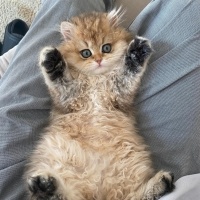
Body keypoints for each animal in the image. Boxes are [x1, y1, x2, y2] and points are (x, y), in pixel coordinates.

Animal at [25, 9, 175, 200]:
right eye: (86, 53)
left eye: (106, 48)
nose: (98, 60)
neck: (95, 80)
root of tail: (98, 195)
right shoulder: (68, 97)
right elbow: (58, 78)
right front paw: (52, 59)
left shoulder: (119, 92)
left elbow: (129, 70)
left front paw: (137, 52)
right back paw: (44, 188)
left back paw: (161, 183)